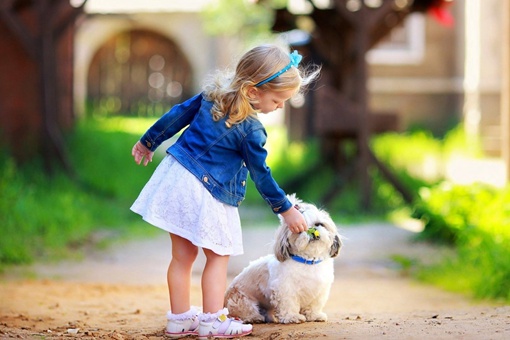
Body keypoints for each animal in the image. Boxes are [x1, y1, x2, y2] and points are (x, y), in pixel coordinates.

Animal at [224, 194, 340, 324]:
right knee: (244, 311)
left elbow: (314, 305)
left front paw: (314, 315)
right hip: (241, 300)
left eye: (319, 224)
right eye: (299, 230)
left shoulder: (320, 291)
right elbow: (288, 303)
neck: (309, 261)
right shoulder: (285, 289)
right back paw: (254, 318)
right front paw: (292, 317)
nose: (312, 231)